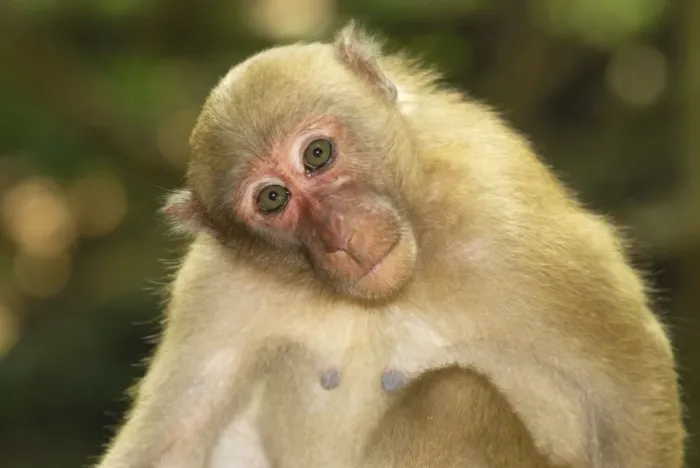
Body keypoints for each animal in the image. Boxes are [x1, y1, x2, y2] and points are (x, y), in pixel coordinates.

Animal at [95, 21, 686, 468]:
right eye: (272, 199)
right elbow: (165, 446)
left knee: (451, 399)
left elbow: (630, 391)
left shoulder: (500, 210)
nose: (340, 234)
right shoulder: (216, 283)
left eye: (317, 155)